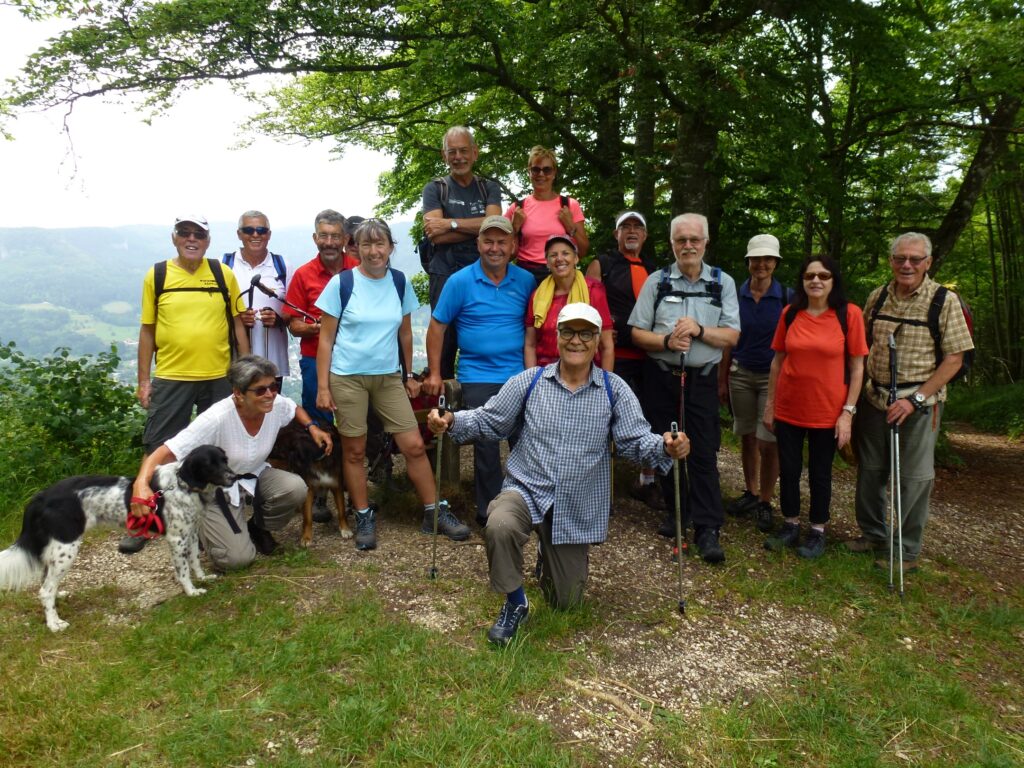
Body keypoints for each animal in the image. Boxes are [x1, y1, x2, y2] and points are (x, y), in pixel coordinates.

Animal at [0, 444, 234, 630]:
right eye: (209, 465)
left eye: (225, 460)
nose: (233, 477)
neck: (182, 486)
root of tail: (40, 497)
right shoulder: (177, 539)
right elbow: (183, 571)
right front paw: (192, 591)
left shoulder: (191, 533)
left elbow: (195, 561)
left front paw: (203, 578)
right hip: (66, 549)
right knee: (45, 591)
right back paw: (54, 624)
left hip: (56, 551)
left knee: (46, 583)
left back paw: (58, 599)